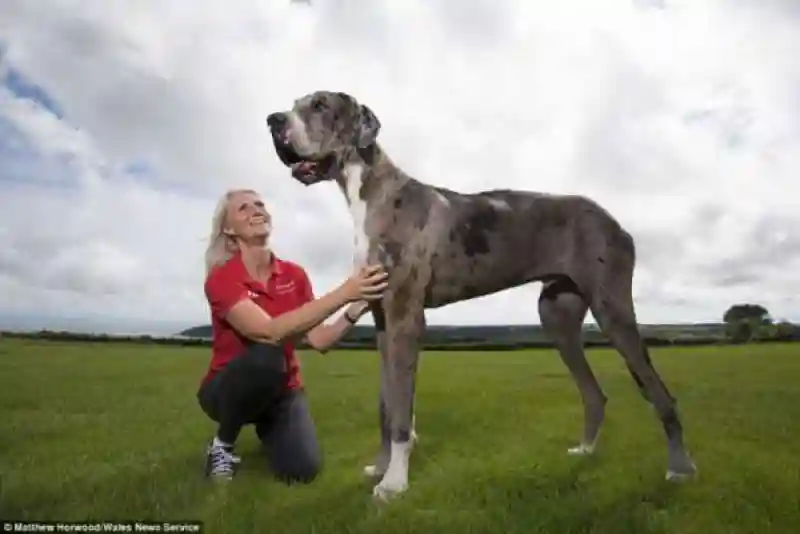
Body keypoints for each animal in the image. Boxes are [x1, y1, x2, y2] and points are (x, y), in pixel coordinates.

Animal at [266, 89, 696, 502]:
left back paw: (679, 469)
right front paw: (381, 467)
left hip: (612, 309)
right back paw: (586, 451)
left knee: (661, 394)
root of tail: (614, 220)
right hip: (556, 317)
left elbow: (402, 414)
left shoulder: (406, 316)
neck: (370, 192)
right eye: (294, 104)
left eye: (320, 105)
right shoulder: (382, 321)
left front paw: (394, 484)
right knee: (594, 394)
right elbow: (386, 408)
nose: (273, 120)